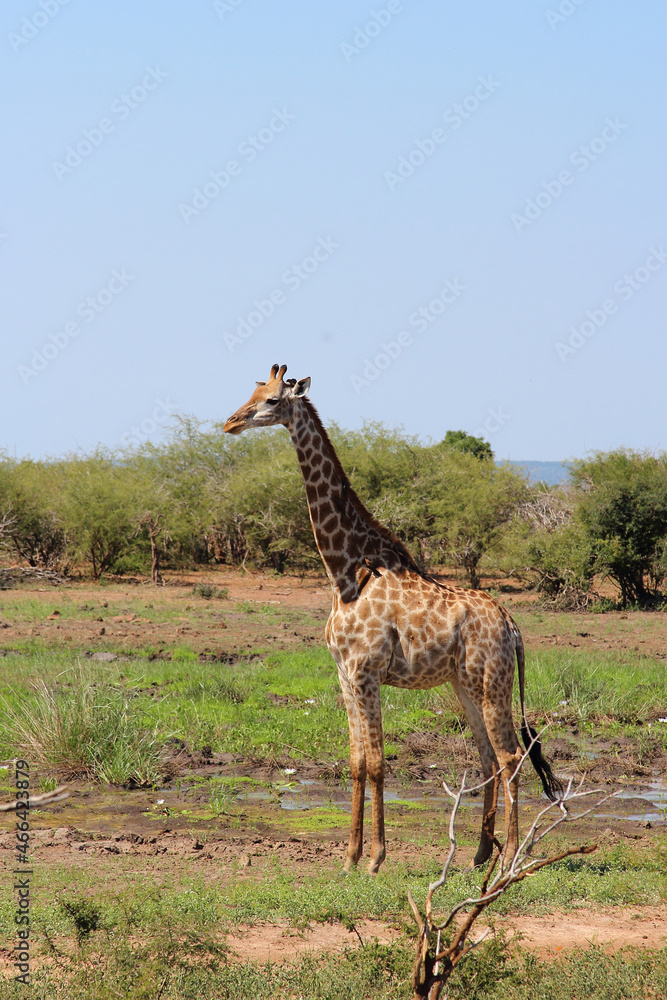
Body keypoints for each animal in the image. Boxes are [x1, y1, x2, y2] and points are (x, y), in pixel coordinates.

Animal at [224, 364, 561, 873]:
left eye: (270, 401)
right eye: (252, 392)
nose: (230, 422)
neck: (344, 573)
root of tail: (512, 625)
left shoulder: (366, 672)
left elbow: (378, 763)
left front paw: (376, 859)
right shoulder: (344, 675)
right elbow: (356, 762)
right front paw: (349, 858)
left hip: (493, 683)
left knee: (510, 757)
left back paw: (508, 861)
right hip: (465, 685)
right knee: (487, 757)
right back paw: (480, 854)